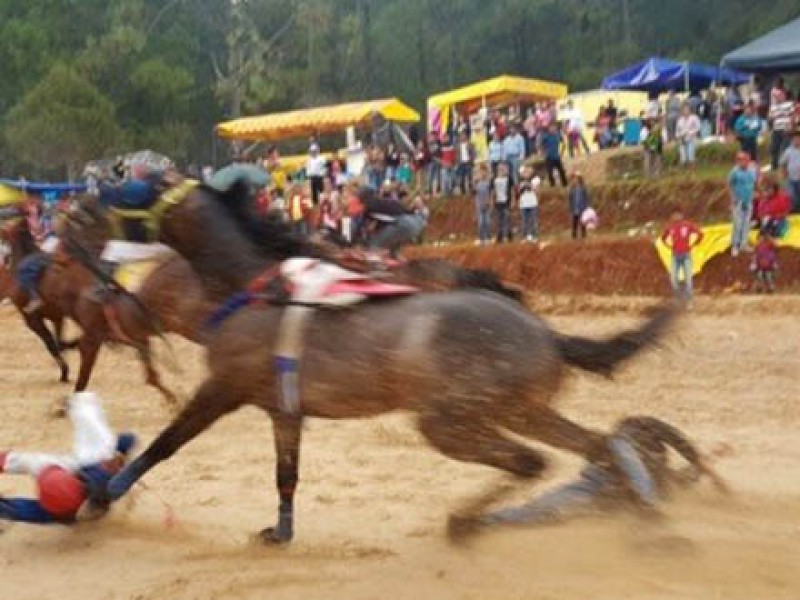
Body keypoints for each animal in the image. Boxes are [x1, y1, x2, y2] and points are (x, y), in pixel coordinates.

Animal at [97, 178, 680, 544]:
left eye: (131, 185)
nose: (93, 226)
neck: (253, 287)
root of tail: (544, 332)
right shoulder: (283, 409)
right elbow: (287, 474)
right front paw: (280, 532)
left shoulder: (222, 388)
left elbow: (165, 443)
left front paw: (102, 497)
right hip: (521, 410)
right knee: (597, 446)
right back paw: (641, 516)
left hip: (449, 421)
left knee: (532, 462)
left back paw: (470, 522)